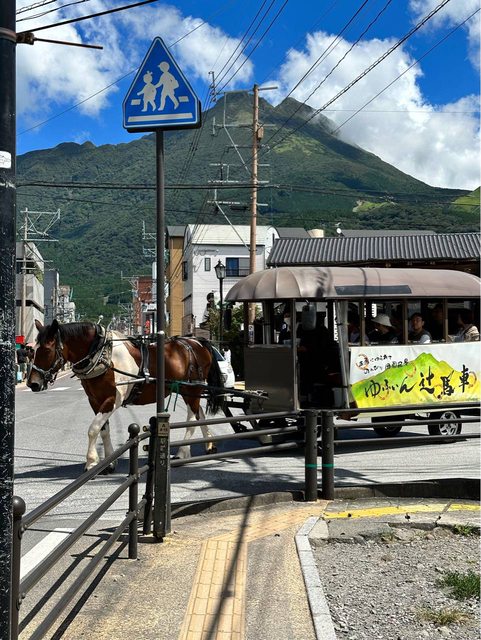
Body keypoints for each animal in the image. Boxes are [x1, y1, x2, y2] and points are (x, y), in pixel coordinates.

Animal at [27, 319, 225, 471]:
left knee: (191, 418)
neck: (101, 355)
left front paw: (91, 462)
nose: (32, 383)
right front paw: (109, 463)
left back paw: (183, 453)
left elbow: (93, 429)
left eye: (46, 350)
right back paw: (209, 444)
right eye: (32, 351)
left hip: (192, 388)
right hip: (186, 389)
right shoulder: (95, 400)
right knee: (199, 414)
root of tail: (197, 342)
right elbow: (103, 430)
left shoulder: (113, 399)